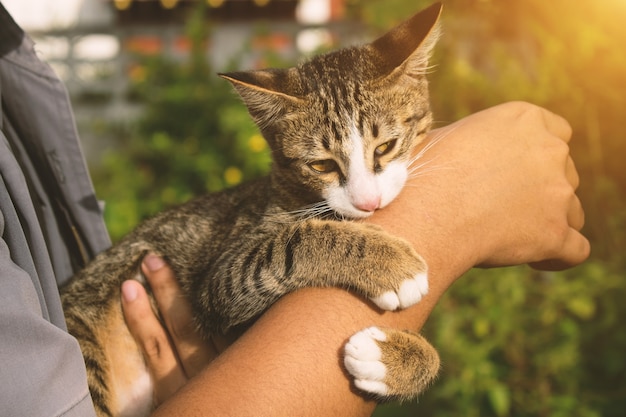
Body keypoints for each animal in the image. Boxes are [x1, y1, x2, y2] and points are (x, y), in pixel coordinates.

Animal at [61, 4, 442, 416]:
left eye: (385, 147)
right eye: (321, 165)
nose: (367, 201)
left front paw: (397, 359)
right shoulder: (221, 279)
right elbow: (291, 244)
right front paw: (391, 266)